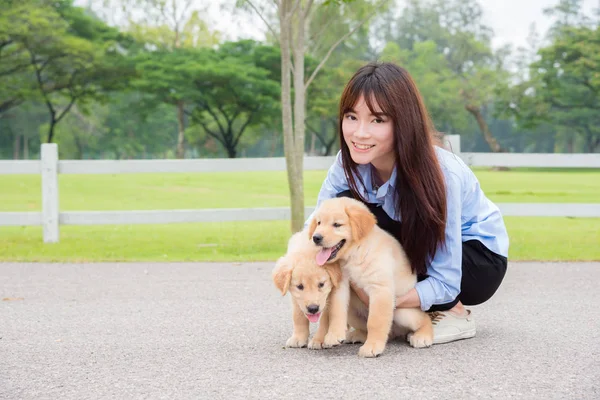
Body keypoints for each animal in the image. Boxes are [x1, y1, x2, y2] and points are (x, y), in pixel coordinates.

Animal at [310, 198, 432, 358]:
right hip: (353, 311)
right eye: (319, 223)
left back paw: (422, 335)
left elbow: (375, 321)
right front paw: (334, 335)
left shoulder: (380, 289)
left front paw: (372, 346)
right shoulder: (341, 285)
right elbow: (336, 310)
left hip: (402, 311)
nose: (316, 237)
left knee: (424, 318)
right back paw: (357, 335)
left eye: (337, 224)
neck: (355, 253)